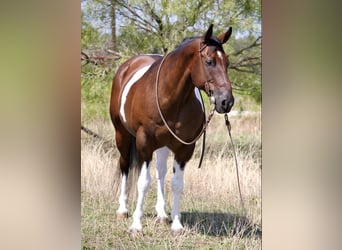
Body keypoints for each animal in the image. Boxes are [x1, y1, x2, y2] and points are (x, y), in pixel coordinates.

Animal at [111, 23, 234, 234]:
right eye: (209, 61)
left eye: (226, 63)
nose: (226, 102)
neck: (169, 96)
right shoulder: (144, 143)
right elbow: (143, 182)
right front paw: (136, 225)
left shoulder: (184, 148)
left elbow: (177, 184)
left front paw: (177, 224)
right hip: (122, 135)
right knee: (125, 166)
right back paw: (123, 209)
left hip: (162, 145)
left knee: (160, 172)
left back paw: (161, 214)